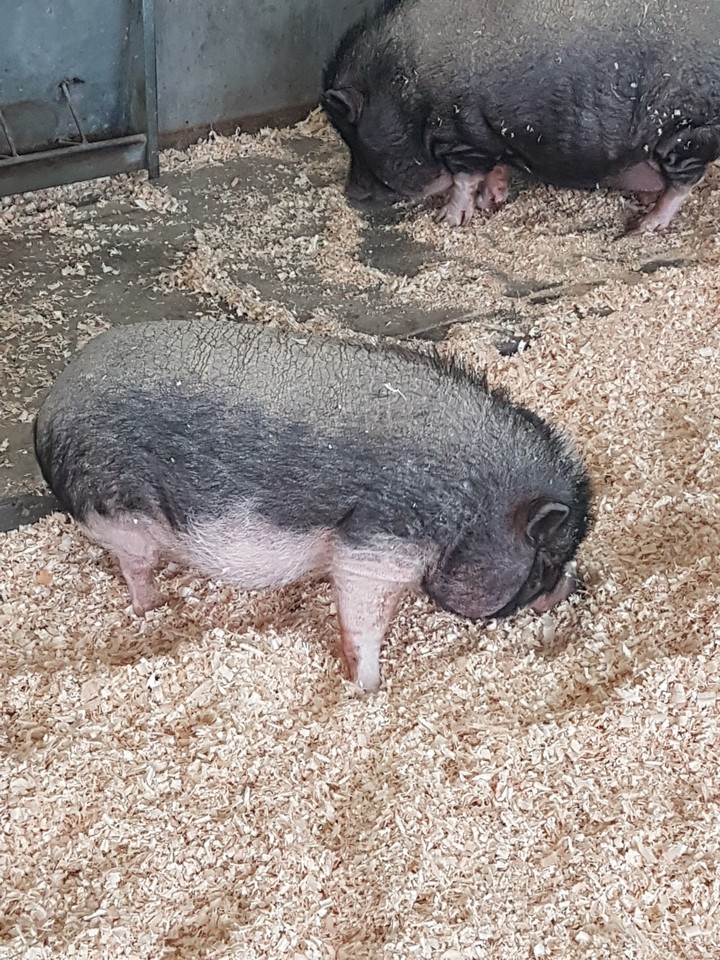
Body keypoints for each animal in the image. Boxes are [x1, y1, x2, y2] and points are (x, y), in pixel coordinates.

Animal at [33, 319, 592, 692]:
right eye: (546, 558)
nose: (573, 585)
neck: (475, 506)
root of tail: (47, 411)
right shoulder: (380, 545)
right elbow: (362, 618)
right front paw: (370, 689)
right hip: (119, 512)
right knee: (136, 568)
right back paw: (155, 607)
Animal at [322, 0, 720, 232]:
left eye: (350, 133)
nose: (349, 193)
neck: (401, 94)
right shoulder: (492, 134)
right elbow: (493, 170)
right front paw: (491, 202)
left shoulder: (462, 134)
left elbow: (465, 179)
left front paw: (447, 220)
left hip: (687, 132)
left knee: (684, 182)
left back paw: (643, 226)